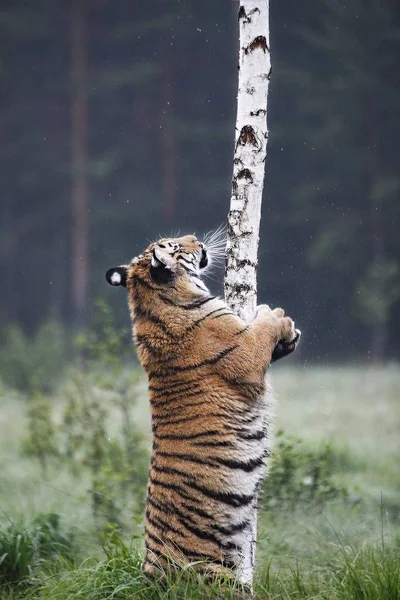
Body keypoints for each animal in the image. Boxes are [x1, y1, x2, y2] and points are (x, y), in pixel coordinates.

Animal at [106, 233, 300, 584]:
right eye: (175, 244)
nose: (195, 238)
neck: (153, 302)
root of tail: (152, 573)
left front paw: (286, 333)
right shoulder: (245, 356)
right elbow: (261, 331)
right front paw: (275, 315)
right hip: (217, 575)